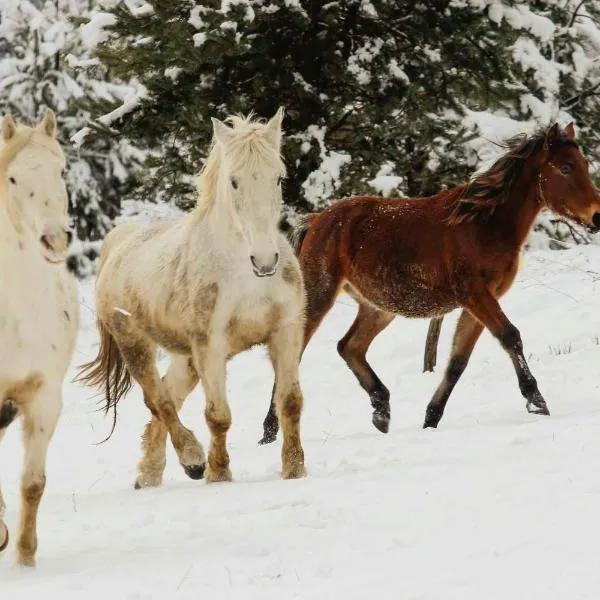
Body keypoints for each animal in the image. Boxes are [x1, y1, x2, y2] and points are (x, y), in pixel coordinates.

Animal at [77, 110, 308, 490]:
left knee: (168, 396)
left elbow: (289, 403)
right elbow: (218, 416)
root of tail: (121, 243)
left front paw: (294, 470)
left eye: (278, 178)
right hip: (136, 345)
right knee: (158, 400)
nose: (265, 261)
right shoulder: (210, 346)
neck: (246, 278)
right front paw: (218, 474)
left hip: (186, 359)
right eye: (234, 182)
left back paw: (149, 474)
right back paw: (192, 460)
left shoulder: (285, 333)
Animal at [260, 122, 600, 442]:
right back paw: (270, 431)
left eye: (584, 163)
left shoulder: (479, 301)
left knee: (349, 346)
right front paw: (536, 400)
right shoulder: (475, 294)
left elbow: (457, 361)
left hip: (378, 307)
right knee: (293, 354)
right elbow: (510, 336)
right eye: (565, 168)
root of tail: (318, 220)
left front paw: (431, 418)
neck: (483, 223)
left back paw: (381, 410)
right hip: (319, 296)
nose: (597, 216)